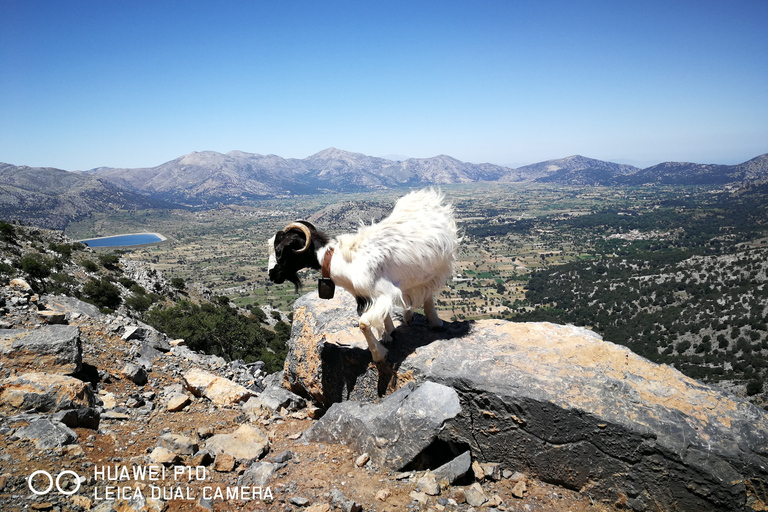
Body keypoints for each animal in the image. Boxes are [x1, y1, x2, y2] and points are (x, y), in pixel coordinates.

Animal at [268, 187, 460, 360]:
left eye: (279, 251)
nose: (271, 275)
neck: (346, 262)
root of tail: (427, 197)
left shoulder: (384, 291)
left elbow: (363, 323)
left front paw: (378, 354)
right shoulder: (373, 294)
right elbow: (383, 315)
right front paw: (388, 334)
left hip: (438, 265)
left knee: (428, 292)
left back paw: (434, 321)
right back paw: (408, 316)